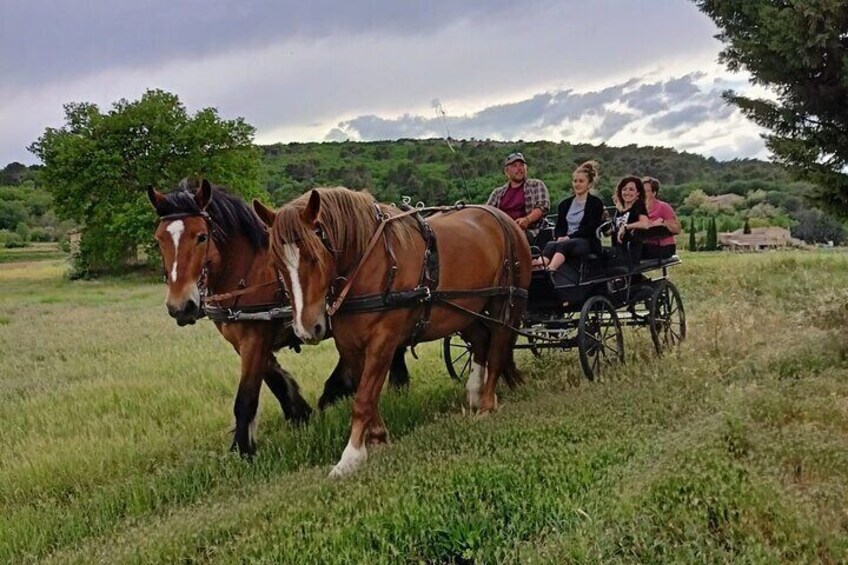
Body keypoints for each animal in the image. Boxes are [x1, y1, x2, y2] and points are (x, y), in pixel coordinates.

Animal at [149, 178, 410, 456]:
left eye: (201, 236)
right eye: (159, 240)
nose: (180, 306)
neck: (248, 270)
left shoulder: (254, 339)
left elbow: (246, 397)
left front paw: (242, 450)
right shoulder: (245, 341)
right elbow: (273, 377)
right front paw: (298, 412)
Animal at [256, 188, 528, 476]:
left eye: (314, 256)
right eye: (277, 263)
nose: (307, 328)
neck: (369, 262)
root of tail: (505, 220)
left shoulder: (383, 342)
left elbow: (363, 398)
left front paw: (350, 456)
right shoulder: (350, 345)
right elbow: (368, 394)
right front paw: (377, 437)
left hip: (506, 302)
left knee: (498, 348)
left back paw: (486, 404)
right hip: (465, 308)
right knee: (481, 341)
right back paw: (475, 393)